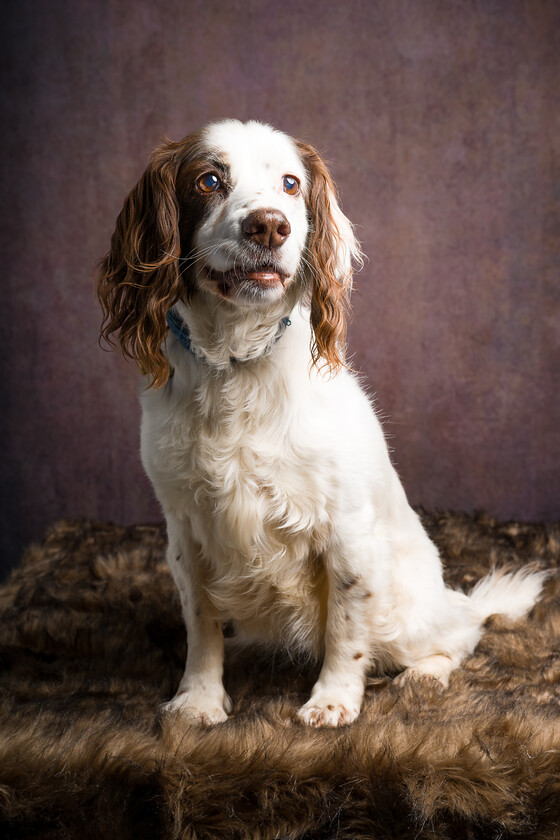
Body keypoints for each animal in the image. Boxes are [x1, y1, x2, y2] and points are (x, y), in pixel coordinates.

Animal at [97, 120, 548, 728]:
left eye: (290, 183)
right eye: (208, 180)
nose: (269, 225)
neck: (236, 365)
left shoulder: (347, 532)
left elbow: (346, 627)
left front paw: (333, 700)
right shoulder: (185, 531)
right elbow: (201, 626)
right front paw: (199, 700)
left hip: (410, 615)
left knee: (460, 633)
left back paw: (424, 676)